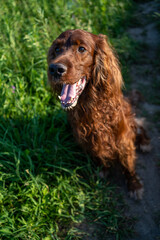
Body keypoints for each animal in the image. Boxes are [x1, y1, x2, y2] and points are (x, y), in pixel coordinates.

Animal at [47, 29, 150, 200]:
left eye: (82, 49)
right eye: (57, 49)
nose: (55, 69)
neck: (91, 107)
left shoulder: (123, 139)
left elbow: (128, 165)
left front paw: (134, 184)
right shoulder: (90, 139)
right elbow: (100, 155)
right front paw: (103, 169)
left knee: (140, 124)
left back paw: (145, 142)